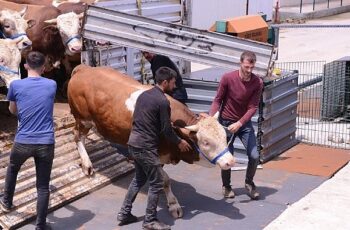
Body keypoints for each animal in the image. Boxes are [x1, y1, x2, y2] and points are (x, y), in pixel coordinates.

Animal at [67, 64, 235, 217]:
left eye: (224, 136)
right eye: (206, 142)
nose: (230, 162)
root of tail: (84, 68)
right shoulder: (154, 154)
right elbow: (165, 179)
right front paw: (173, 204)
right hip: (83, 119)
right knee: (77, 135)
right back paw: (87, 165)